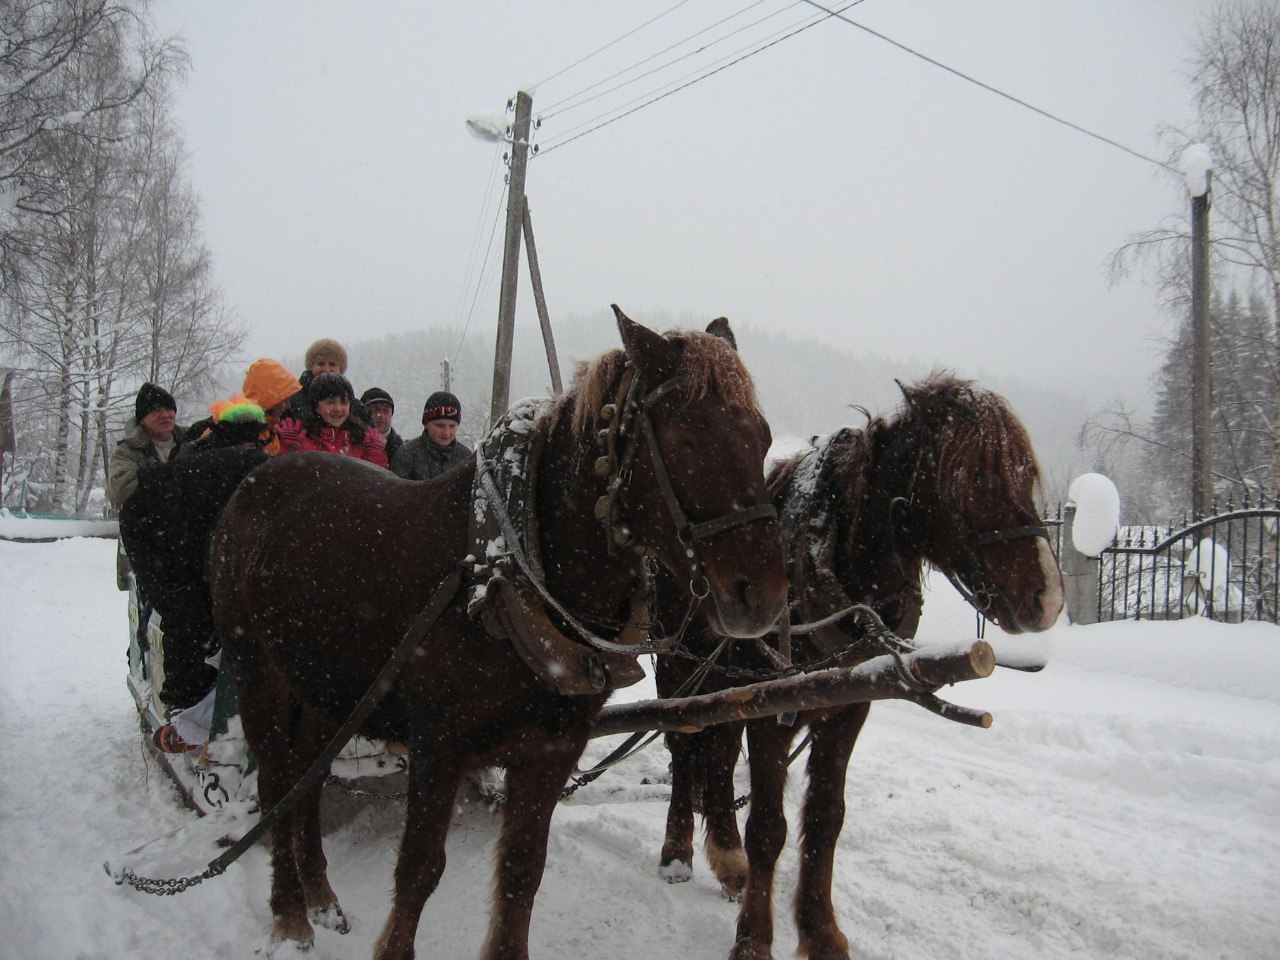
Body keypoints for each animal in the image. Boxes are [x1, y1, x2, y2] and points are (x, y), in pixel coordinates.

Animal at [208, 308, 789, 960]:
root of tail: (256, 483)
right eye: (687, 436)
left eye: (764, 438)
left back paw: (320, 895)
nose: (764, 597)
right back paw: (289, 913)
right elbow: (418, 867)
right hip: (257, 673)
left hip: (325, 686)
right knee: (278, 783)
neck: (505, 569)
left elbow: (521, 868)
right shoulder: (438, 742)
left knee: (306, 781)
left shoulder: (552, 747)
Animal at [653, 372, 1064, 960]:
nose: (1048, 598)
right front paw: (754, 939)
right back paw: (677, 850)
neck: (826, 557)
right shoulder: (771, 708)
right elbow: (769, 828)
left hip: (729, 684)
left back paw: (727, 858)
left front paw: (821, 932)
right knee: (684, 749)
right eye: (975, 475)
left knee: (718, 753)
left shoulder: (848, 706)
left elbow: (826, 819)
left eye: (1027, 475)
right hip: (679, 670)